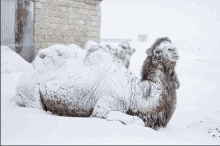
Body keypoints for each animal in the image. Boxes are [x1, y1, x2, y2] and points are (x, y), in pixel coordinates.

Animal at [15, 37, 180, 129]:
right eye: (158, 51)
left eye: (170, 44)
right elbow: (136, 121)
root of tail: (21, 79)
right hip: (30, 94)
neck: (137, 94)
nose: (174, 50)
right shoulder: (105, 106)